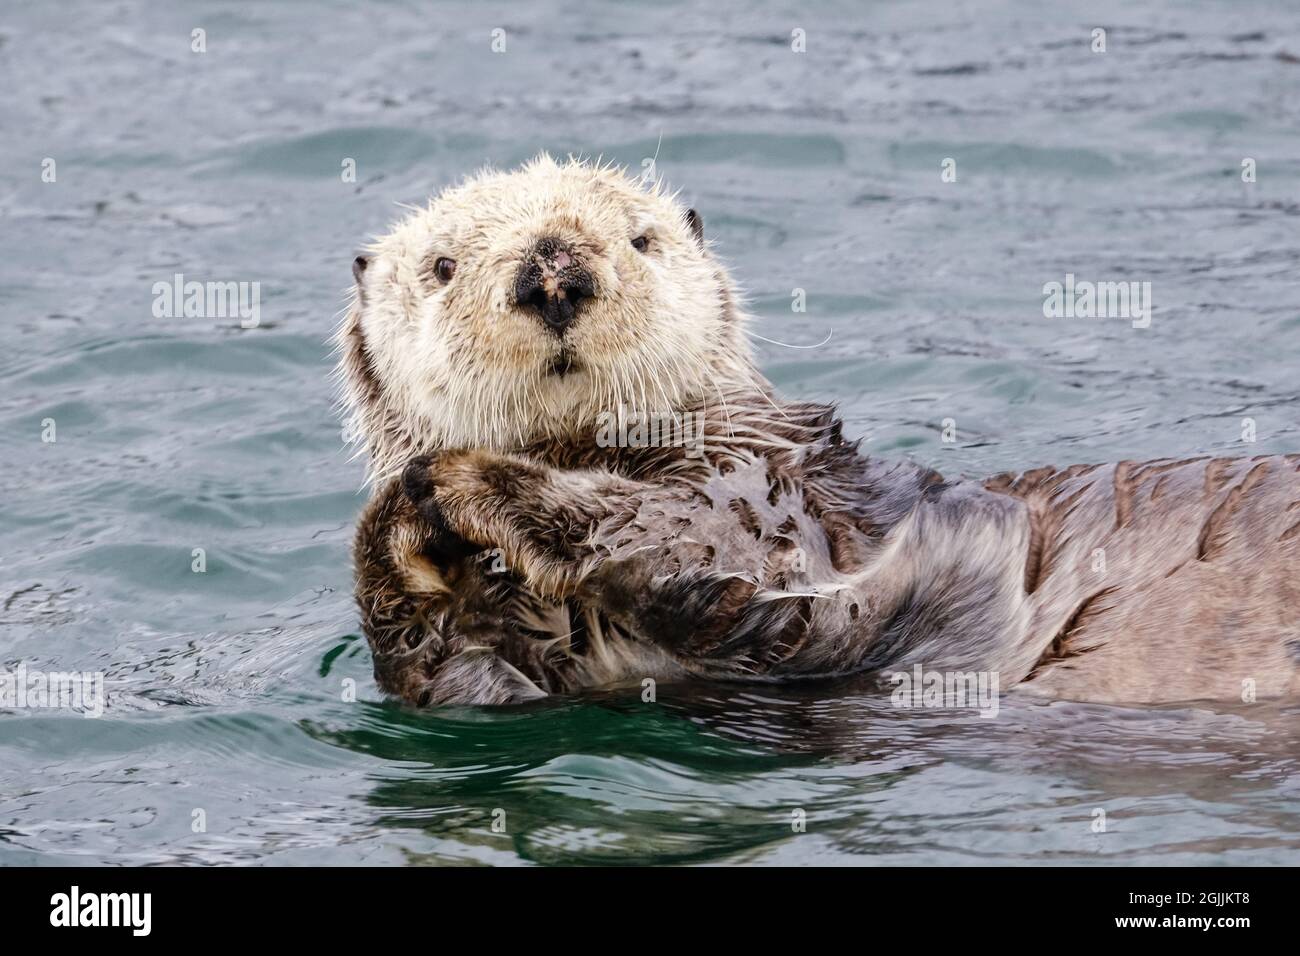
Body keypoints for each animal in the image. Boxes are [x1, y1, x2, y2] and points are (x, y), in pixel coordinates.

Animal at [335, 157, 1300, 707]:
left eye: (642, 240)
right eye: (442, 265)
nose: (553, 273)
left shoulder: (775, 503)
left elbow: (704, 543)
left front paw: (462, 481)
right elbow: (457, 681)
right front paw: (403, 528)